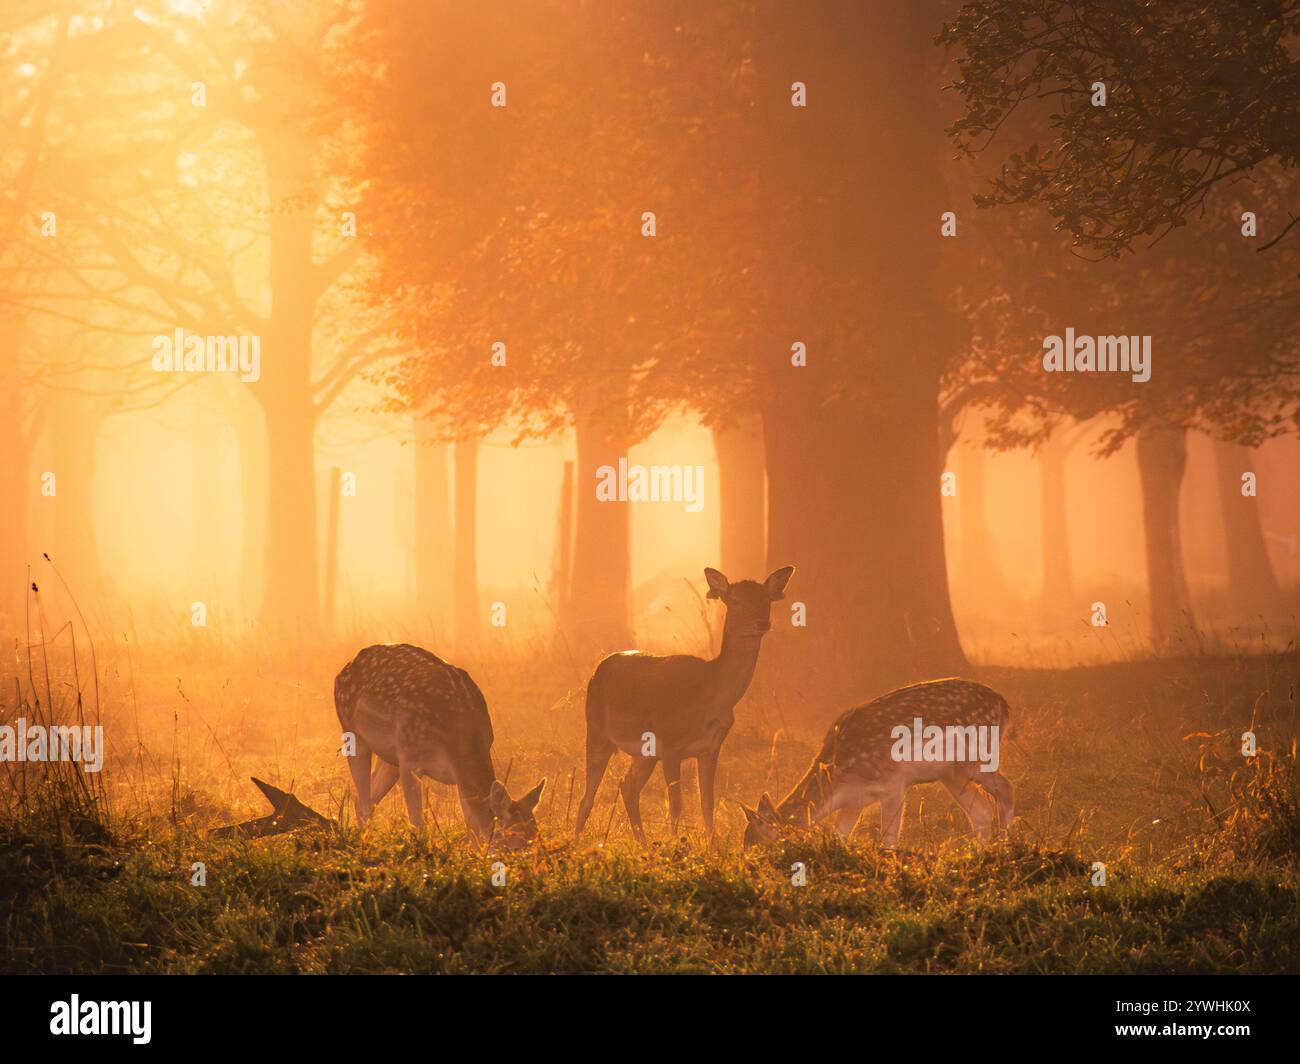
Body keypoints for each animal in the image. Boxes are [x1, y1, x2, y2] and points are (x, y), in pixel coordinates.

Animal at [333, 643, 545, 849]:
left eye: (535, 838)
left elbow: (472, 825)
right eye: (513, 844)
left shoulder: (458, 776)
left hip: (390, 757)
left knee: (365, 800)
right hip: (354, 732)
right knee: (363, 801)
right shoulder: (410, 760)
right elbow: (418, 823)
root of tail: (345, 668)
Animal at [574, 565, 795, 844]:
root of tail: (598, 669)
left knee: (628, 786)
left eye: (766, 599)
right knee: (587, 797)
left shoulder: (711, 748)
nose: (761, 623)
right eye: (734, 600)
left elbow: (707, 804)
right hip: (596, 731)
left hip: (644, 754)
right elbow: (676, 806)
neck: (710, 696)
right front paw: (674, 845)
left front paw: (710, 848)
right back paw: (576, 842)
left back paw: (643, 845)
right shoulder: (670, 745)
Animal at [741, 678, 1014, 849]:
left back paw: (1004, 847)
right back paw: (977, 853)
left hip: (977, 756)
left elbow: (889, 839)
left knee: (1006, 788)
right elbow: (839, 836)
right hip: (951, 772)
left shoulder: (893, 783)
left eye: (759, 847)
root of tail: (1004, 704)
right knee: (981, 810)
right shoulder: (854, 802)